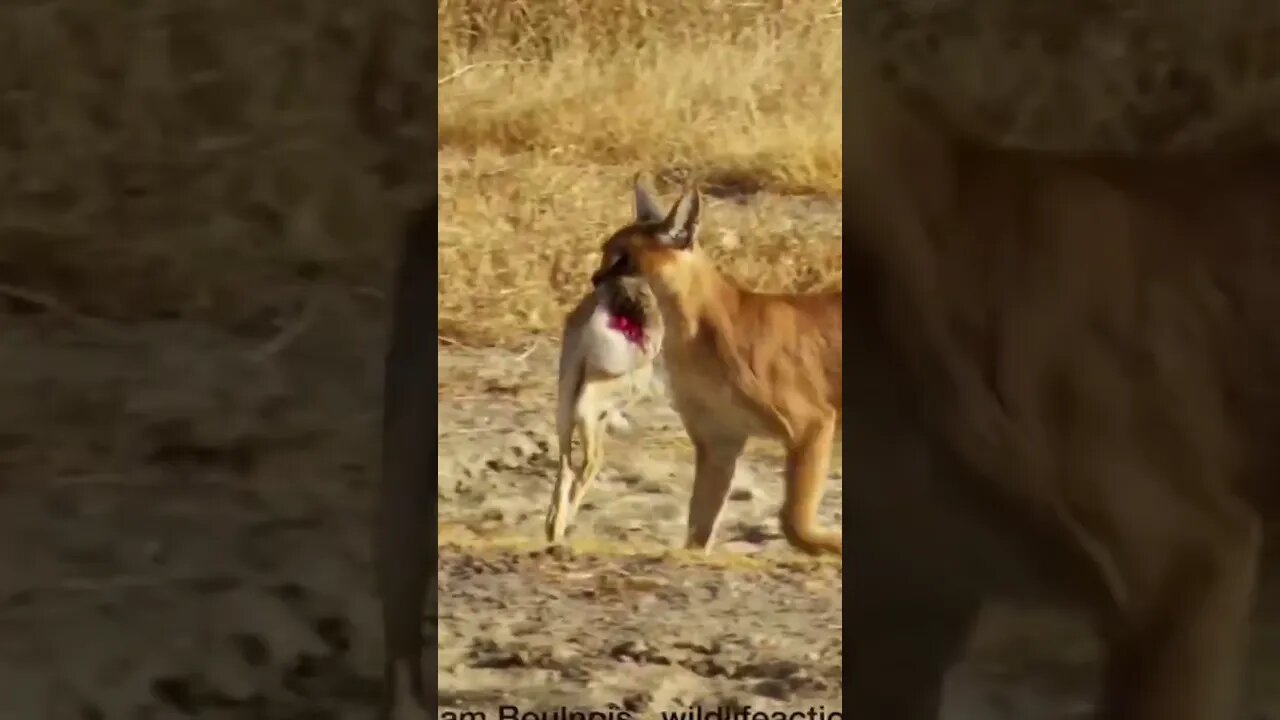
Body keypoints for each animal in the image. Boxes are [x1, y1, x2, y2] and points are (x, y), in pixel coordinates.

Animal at [545, 271, 665, 540]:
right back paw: (564, 524)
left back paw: (553, 526)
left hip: (566, 401)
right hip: (588, 405)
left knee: (566, 466)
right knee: (592, 461)